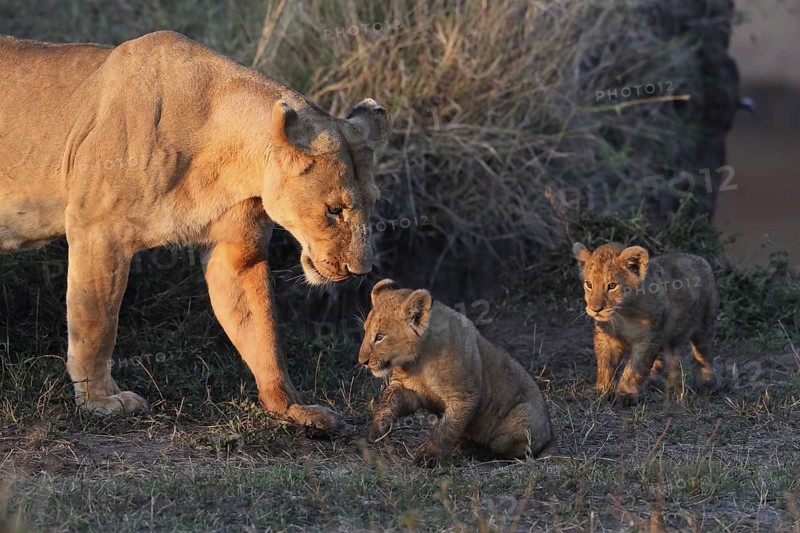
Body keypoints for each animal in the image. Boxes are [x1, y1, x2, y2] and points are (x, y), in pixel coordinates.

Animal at [0, 31, 390, 432]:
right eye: (334, 210)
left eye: (372, 203)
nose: (359, 271)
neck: (228, 154)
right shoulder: (97, 231)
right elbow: (96, 324)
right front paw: (100, 401)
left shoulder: (236, 252)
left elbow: (262, 334)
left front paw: (292, 407)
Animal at [358, 279, 556, 466]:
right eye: (366, 331)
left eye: (380, 337)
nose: (362, 361)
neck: (418, 361)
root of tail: (549, 435)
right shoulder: (408, 389)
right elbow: (388, 402)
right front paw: (377, 430)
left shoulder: (463, 396)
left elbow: (447, 429)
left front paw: (429, 457)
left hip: (523, 417)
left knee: (506, 450)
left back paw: (474, 450)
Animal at [572, 242, 719, 402]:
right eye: (589, 284)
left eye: (612, 286)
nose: (595, 309)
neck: (623, 314)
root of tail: (698, 258)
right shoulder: (606, 336)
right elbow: (605, 364)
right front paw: (601, 389)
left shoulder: (648, 339)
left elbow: (635, 367)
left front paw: (626, 394)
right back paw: (652, 380)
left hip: (704, 324)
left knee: (704, 354)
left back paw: (707, 383)